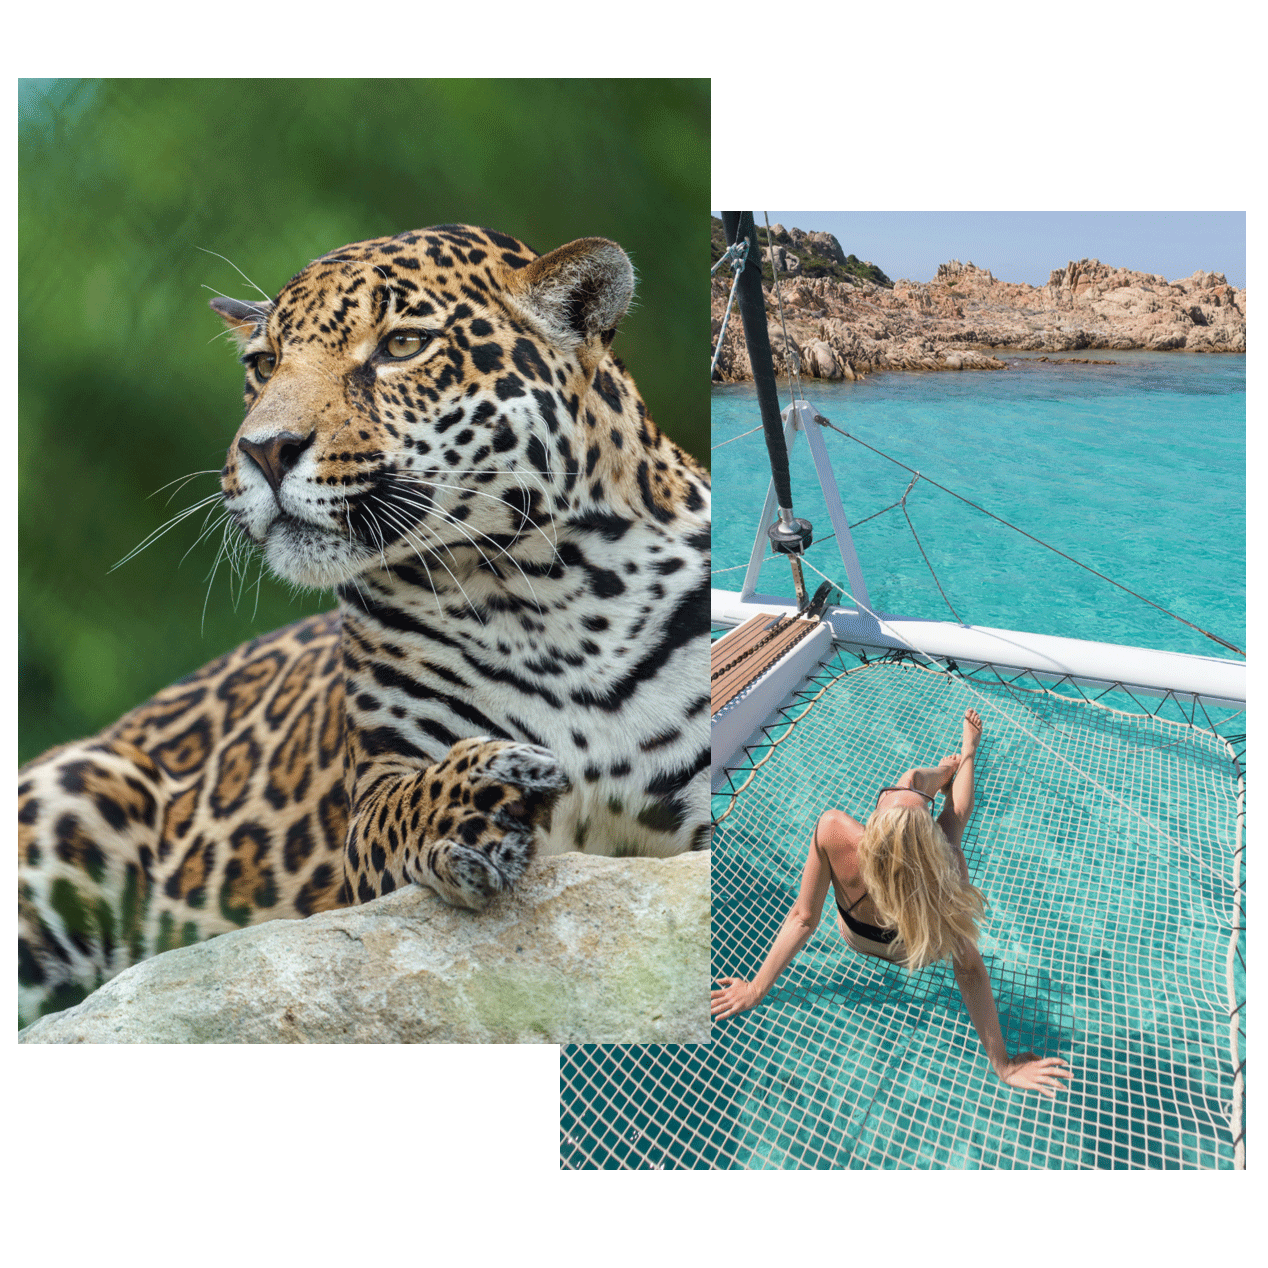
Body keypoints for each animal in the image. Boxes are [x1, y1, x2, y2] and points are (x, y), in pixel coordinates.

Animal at [18, 223, 711, 1028]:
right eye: (263, 365)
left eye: (403, 344)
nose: (265, 449)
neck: (547, 597)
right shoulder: (377, 796)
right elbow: (398, 810)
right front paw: (468, 804)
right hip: (79, 790)